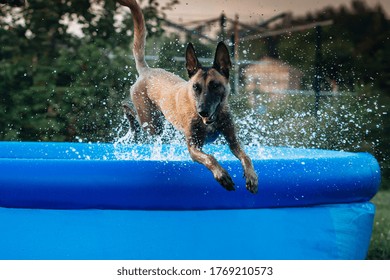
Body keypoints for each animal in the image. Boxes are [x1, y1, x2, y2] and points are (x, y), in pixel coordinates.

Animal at [119, 0, 258, 194]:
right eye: (195, 87)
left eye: (215, 86)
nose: (202, 111)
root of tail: (147, 70)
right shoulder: (193, 147)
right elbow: (210, 158)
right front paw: (222, 175)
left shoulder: (233, 141)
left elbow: (246, 156)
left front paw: (252, 176)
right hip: (151, 123)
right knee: (135, 119)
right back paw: (129, 117)